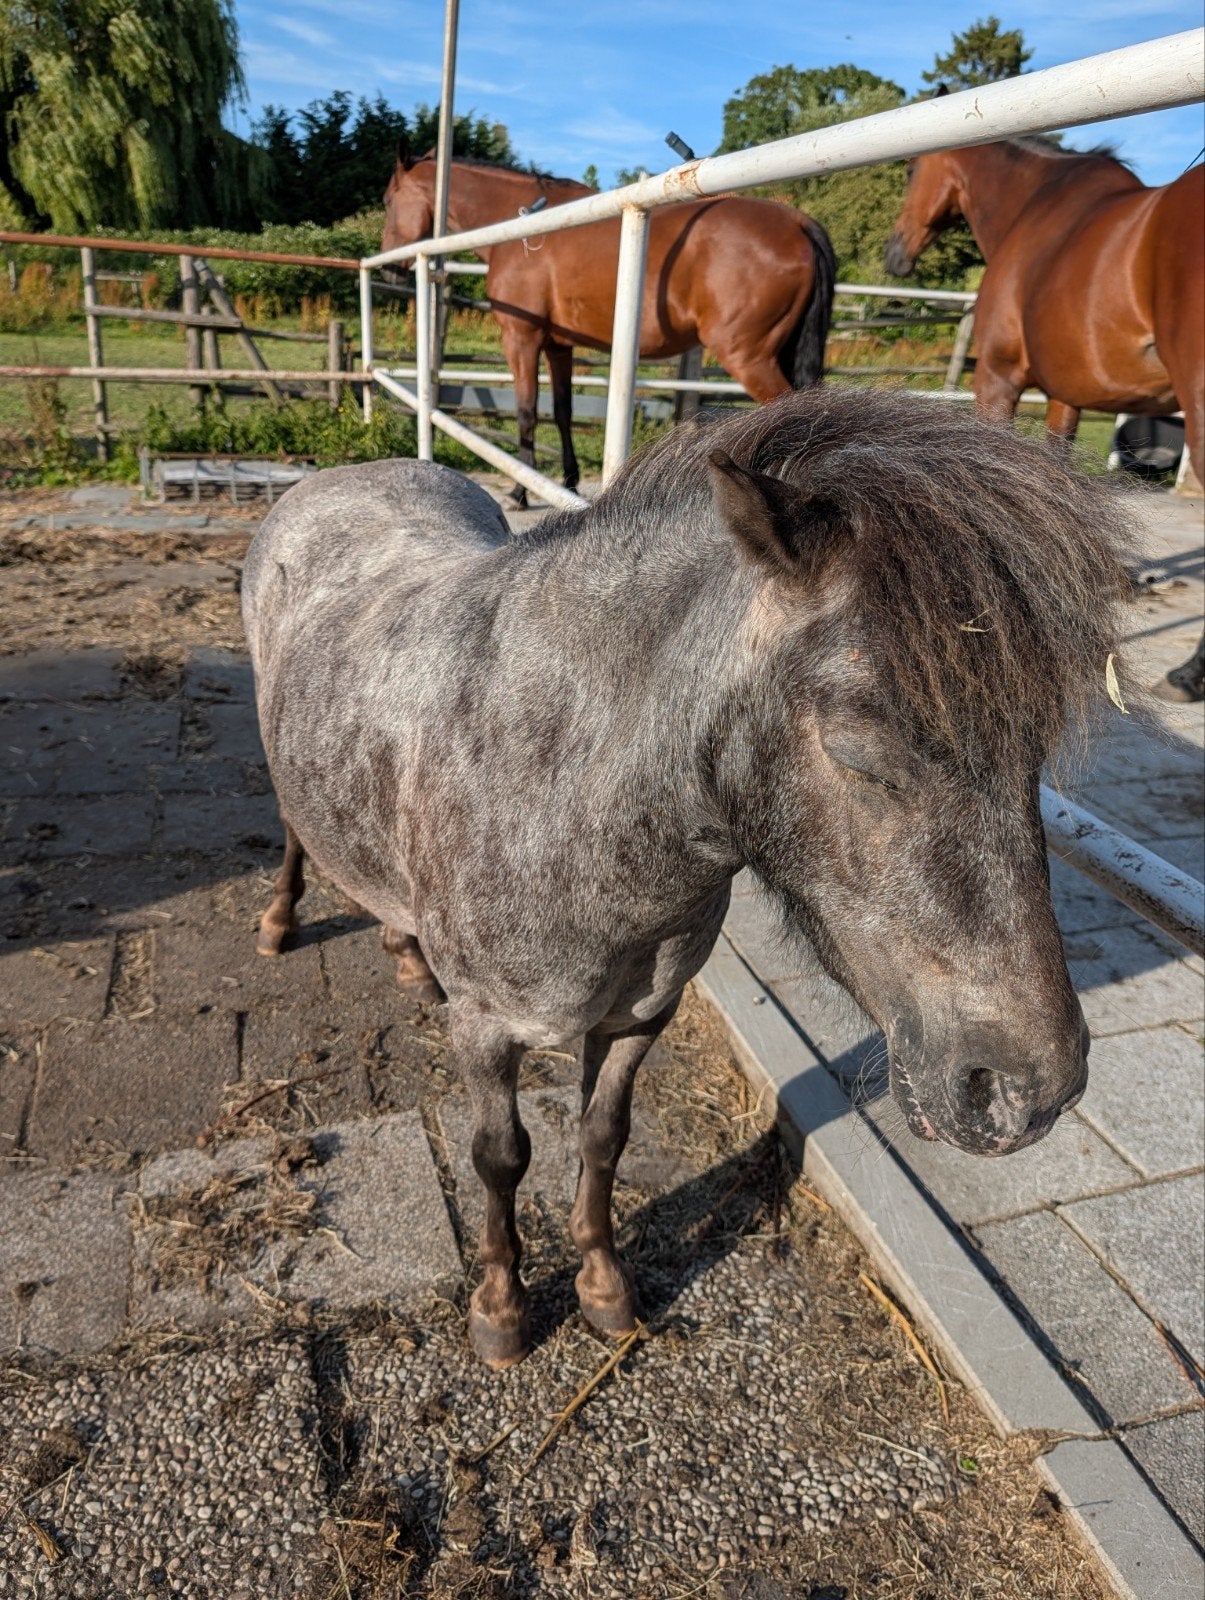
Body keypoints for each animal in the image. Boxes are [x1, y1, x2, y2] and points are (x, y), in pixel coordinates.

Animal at [244, 388, 1130, 1370]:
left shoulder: (643, 1014)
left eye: (1034, 756)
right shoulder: (484, 1031)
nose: (1026, 1092)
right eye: (860, 750)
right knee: (294, 833)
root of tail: (347, 475)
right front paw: (502, 1309)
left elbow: (602, 1137)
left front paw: (603, 1288)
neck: (565, 790)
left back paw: (405, 950)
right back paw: (280, 924)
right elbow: (501, 1156)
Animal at [381, 150, 836, 503]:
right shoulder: (558, 346)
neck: (528, 231)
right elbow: (562, 411)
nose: (389, 267)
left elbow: (527, 412)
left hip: (749, 358)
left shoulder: (521, 338)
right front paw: (568, 481)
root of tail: (800, 224)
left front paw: (521, 490)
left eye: (387, 200)